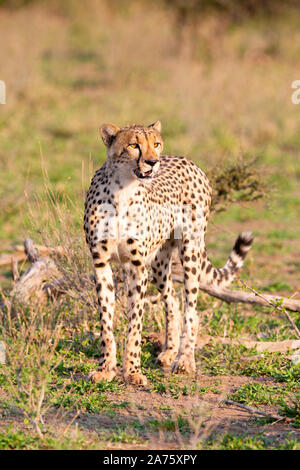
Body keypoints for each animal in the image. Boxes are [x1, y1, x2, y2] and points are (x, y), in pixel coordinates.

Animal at [83, 121, 252, 386]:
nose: (153, 162)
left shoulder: (137, 266)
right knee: (172, 300)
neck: (122, 189)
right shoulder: (101, 264)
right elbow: (106, 323)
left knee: (192, 308)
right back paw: (169, 352)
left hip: (190, 249)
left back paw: (184, 360)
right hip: (159, 263)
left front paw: (132, 371)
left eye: (156, 143)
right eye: (134, 145)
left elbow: (135, 324)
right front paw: (106, 368)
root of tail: (188, 161)